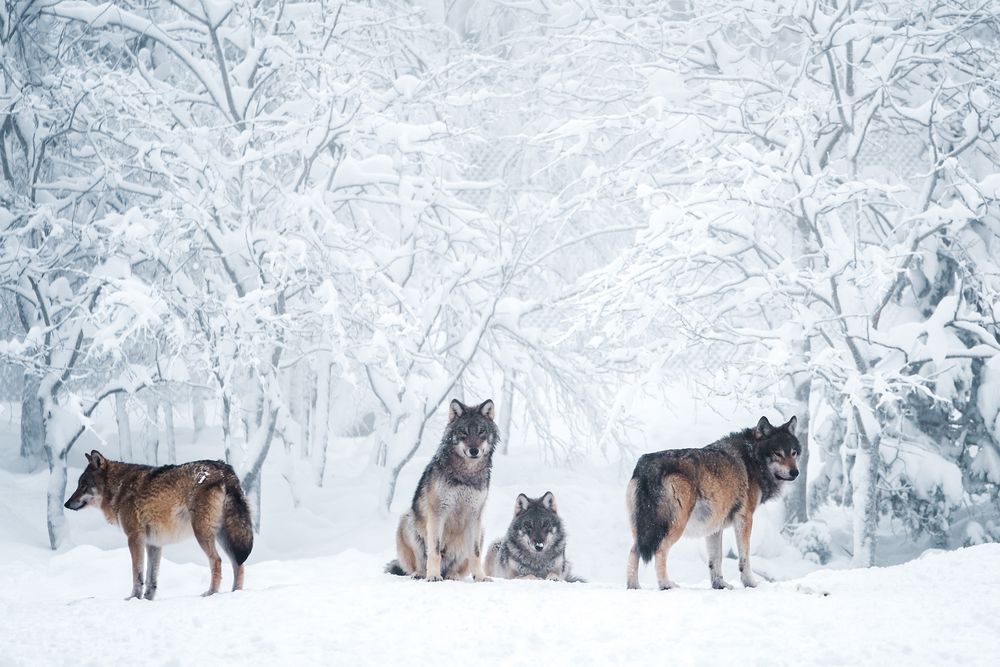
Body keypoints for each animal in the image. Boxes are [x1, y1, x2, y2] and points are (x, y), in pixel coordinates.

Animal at [64, 452, 252, 604]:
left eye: (83, 485)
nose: (66, 504)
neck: (119, 487)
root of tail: (224, 468)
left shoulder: (134, 538)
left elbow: (137, 574)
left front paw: (133, 598)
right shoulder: (153, 544)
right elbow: (151, 578)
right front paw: (148, 599)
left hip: (203, 533)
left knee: (217, 561)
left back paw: (211, 593)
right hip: (224, 535)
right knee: (238, 563)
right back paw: (235, 593)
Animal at [388, 400, 504, 580]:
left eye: (481, 432)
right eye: (463, 432)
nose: (474, 450)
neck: (466, 475)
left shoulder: (475, 515)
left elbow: (475, 553)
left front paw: (480, 577)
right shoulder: (438, 513)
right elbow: (435, 551)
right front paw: (433, 576)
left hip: (481, 531)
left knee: (454, 567)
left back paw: (452, 575)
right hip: (407, 519)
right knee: (420, 563)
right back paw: (422, 574)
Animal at [624, 414, 804, 592]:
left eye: (793, 453)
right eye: (777, 453)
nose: (795, 472)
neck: (752, 458)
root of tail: (647, 466)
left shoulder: (714, 527)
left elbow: (716, 559)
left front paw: (720, 585)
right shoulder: (745, 518)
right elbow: (744, 557)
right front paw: (750, 583)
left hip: (643, 529)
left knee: (633, 551)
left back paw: (634, 587)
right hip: (674, 526)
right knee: (660, 550)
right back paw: (666, 585)